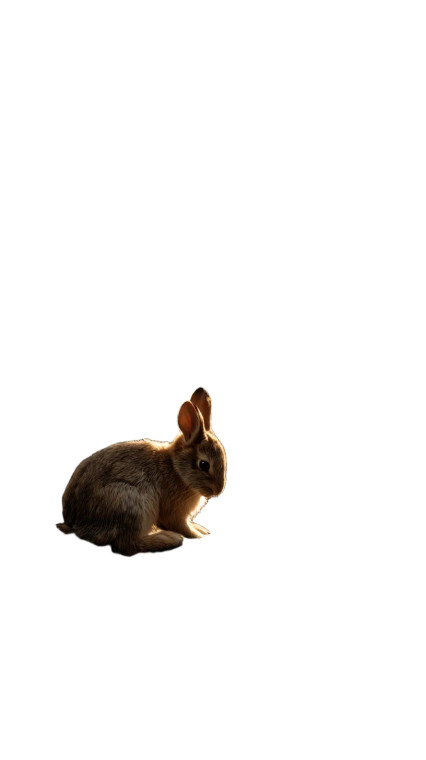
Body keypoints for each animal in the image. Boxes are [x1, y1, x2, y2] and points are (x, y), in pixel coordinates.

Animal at [57, 388, 227, 555]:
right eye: (204, 464)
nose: (218, 491)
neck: (176, 468)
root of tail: (74, 524)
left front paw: (202, 530)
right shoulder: (174, 513)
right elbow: (182, 526)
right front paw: (197, 534)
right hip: (132, 503)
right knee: (126, 545)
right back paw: (169, 538)